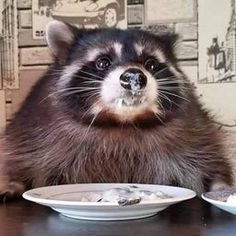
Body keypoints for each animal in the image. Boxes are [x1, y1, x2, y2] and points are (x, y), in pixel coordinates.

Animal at [0, 20, 232, 199]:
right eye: (103, 62)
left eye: (151, 64)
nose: (134, 76)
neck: (121, 122)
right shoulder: (31, 127)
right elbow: (19, 156)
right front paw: (14, 181)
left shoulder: (196, 127)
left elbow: (210, 158)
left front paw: (220, 184)